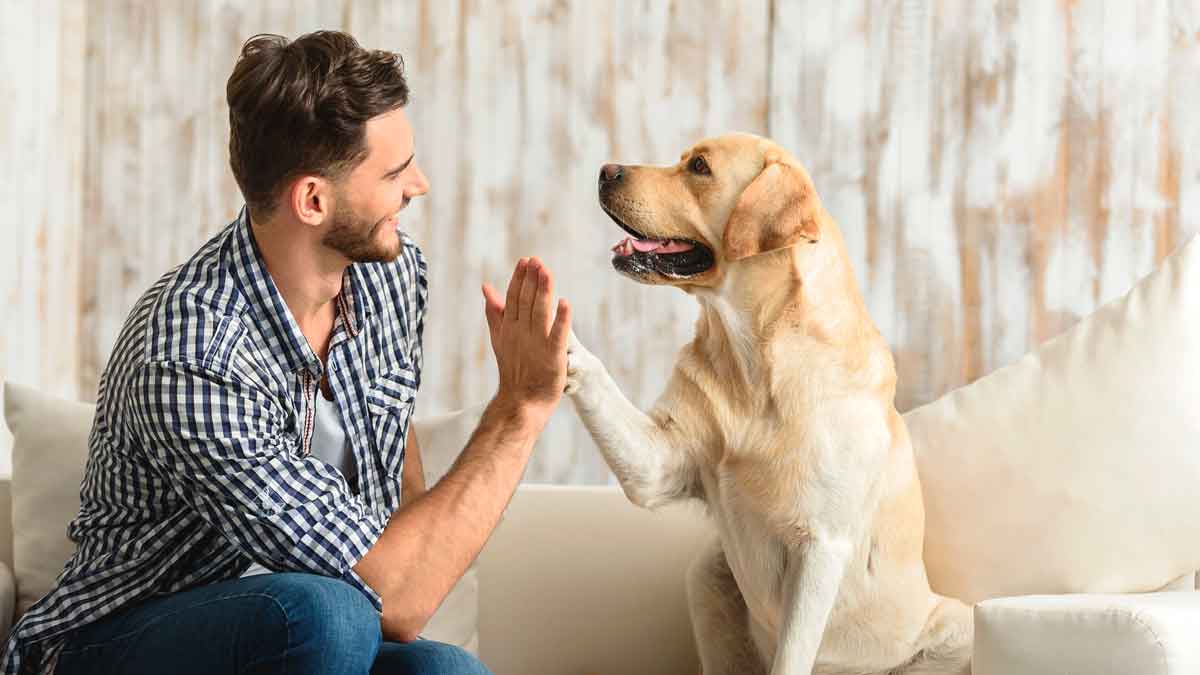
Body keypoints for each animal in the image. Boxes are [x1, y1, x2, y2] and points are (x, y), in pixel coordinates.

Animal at [566, 133, 969, 667]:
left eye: (699, 167)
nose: (605, 170)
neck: (753, 360)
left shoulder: (821, 546)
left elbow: (792, 656)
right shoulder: (658, 464)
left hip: (955, 624)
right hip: (707, 576)